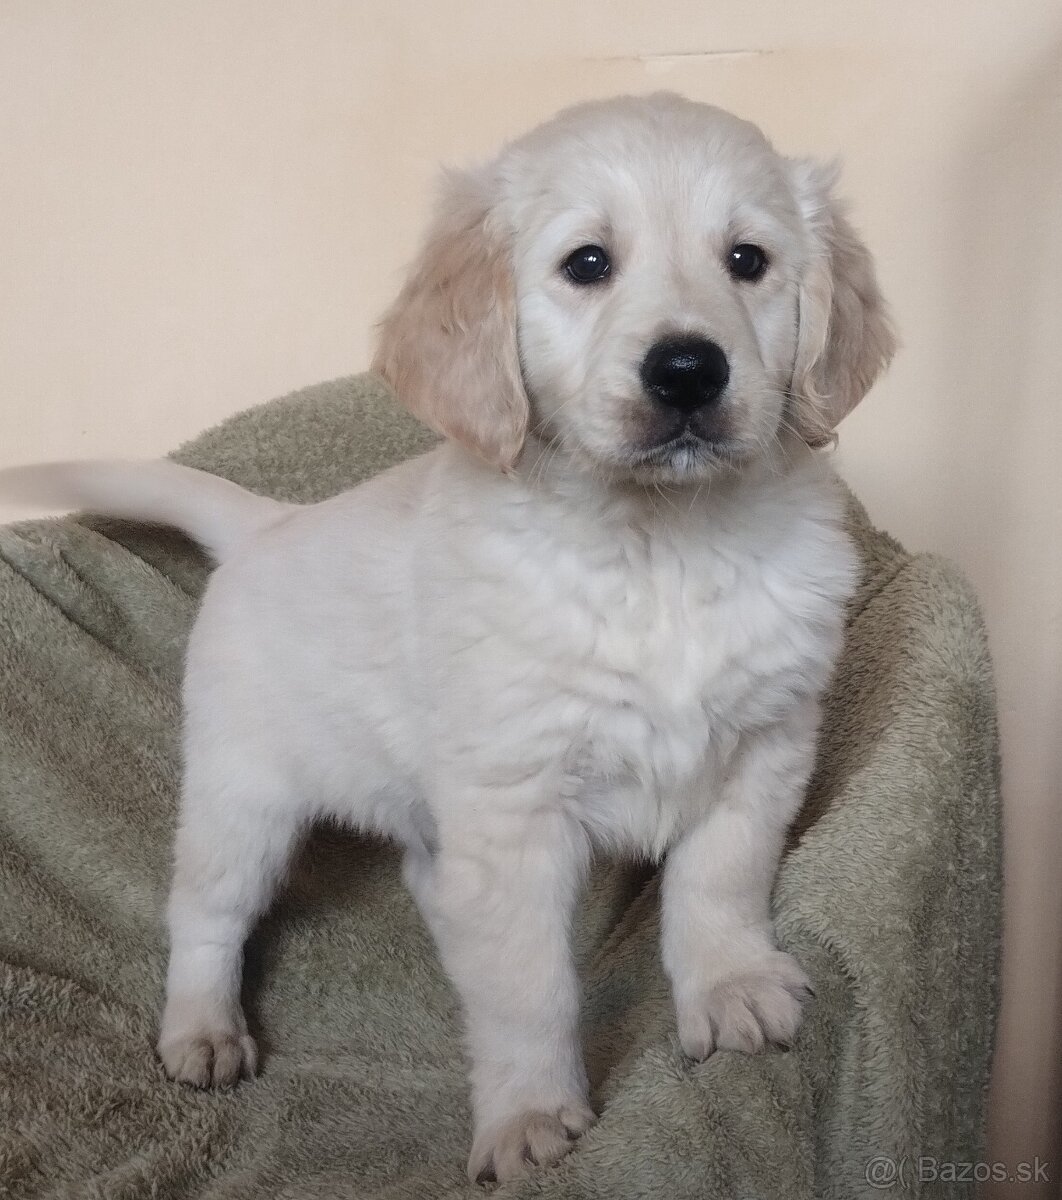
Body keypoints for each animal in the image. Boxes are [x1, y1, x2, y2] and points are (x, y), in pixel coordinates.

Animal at [0, 93, 892, 1180]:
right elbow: (526, 984)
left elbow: (720, 878)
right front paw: (529, 1116)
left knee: (429, 877)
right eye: (587, 263)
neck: (660, 546)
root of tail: (268, 525)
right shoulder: (512, 805)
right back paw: (202, 1031)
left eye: (748, 260)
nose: (688, 369)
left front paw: (731, 989)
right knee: (204, 914)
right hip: (240, 796)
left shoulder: (765, 743)